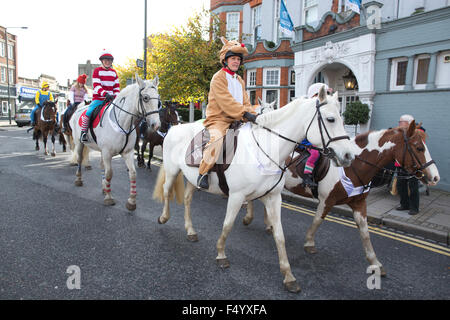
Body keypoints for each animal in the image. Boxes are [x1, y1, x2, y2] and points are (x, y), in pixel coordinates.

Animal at [70, 74, 162, 210]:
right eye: (145, 98)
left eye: (158, 100)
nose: (156, 125)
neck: (122, 123)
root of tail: (79, 109)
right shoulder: (107, 153)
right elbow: (109, 174)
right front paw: (109, 198)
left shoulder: (127, 153)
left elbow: (133, 174)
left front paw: (131, 201)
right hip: (79, 143)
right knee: (80, 159)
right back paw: (78, 180)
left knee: (101, 165)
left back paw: (104, 187)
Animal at [153, 85, 356, 292]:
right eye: (331, 119)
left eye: (342, 117)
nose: (349, 156)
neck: (265, 148)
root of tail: (175, 128)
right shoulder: (236, 196)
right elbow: (227, 225)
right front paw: (221, 254)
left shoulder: (273, 197)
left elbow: (279, 235)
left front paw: (288, 276)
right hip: (172, 170)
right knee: (167, 191)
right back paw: (163, 217)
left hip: (193, 180)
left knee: (187, 199)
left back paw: (190, 231)